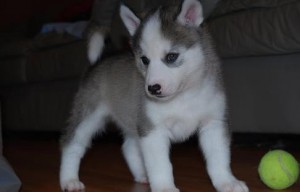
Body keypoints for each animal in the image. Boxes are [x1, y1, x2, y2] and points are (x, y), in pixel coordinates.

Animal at [59, 0, 250, 192]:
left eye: (171, 56)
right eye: (144, 60)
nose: (152, 89)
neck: (183, 96)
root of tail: (101, 59)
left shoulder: (214, 123)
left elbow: (218, 158)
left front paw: (227, 182)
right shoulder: (152, 130)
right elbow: (160, 165)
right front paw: (165, 187)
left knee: (128, 147)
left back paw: (141, 175)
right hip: (88, 116)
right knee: (71, 145)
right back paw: (69, 180)